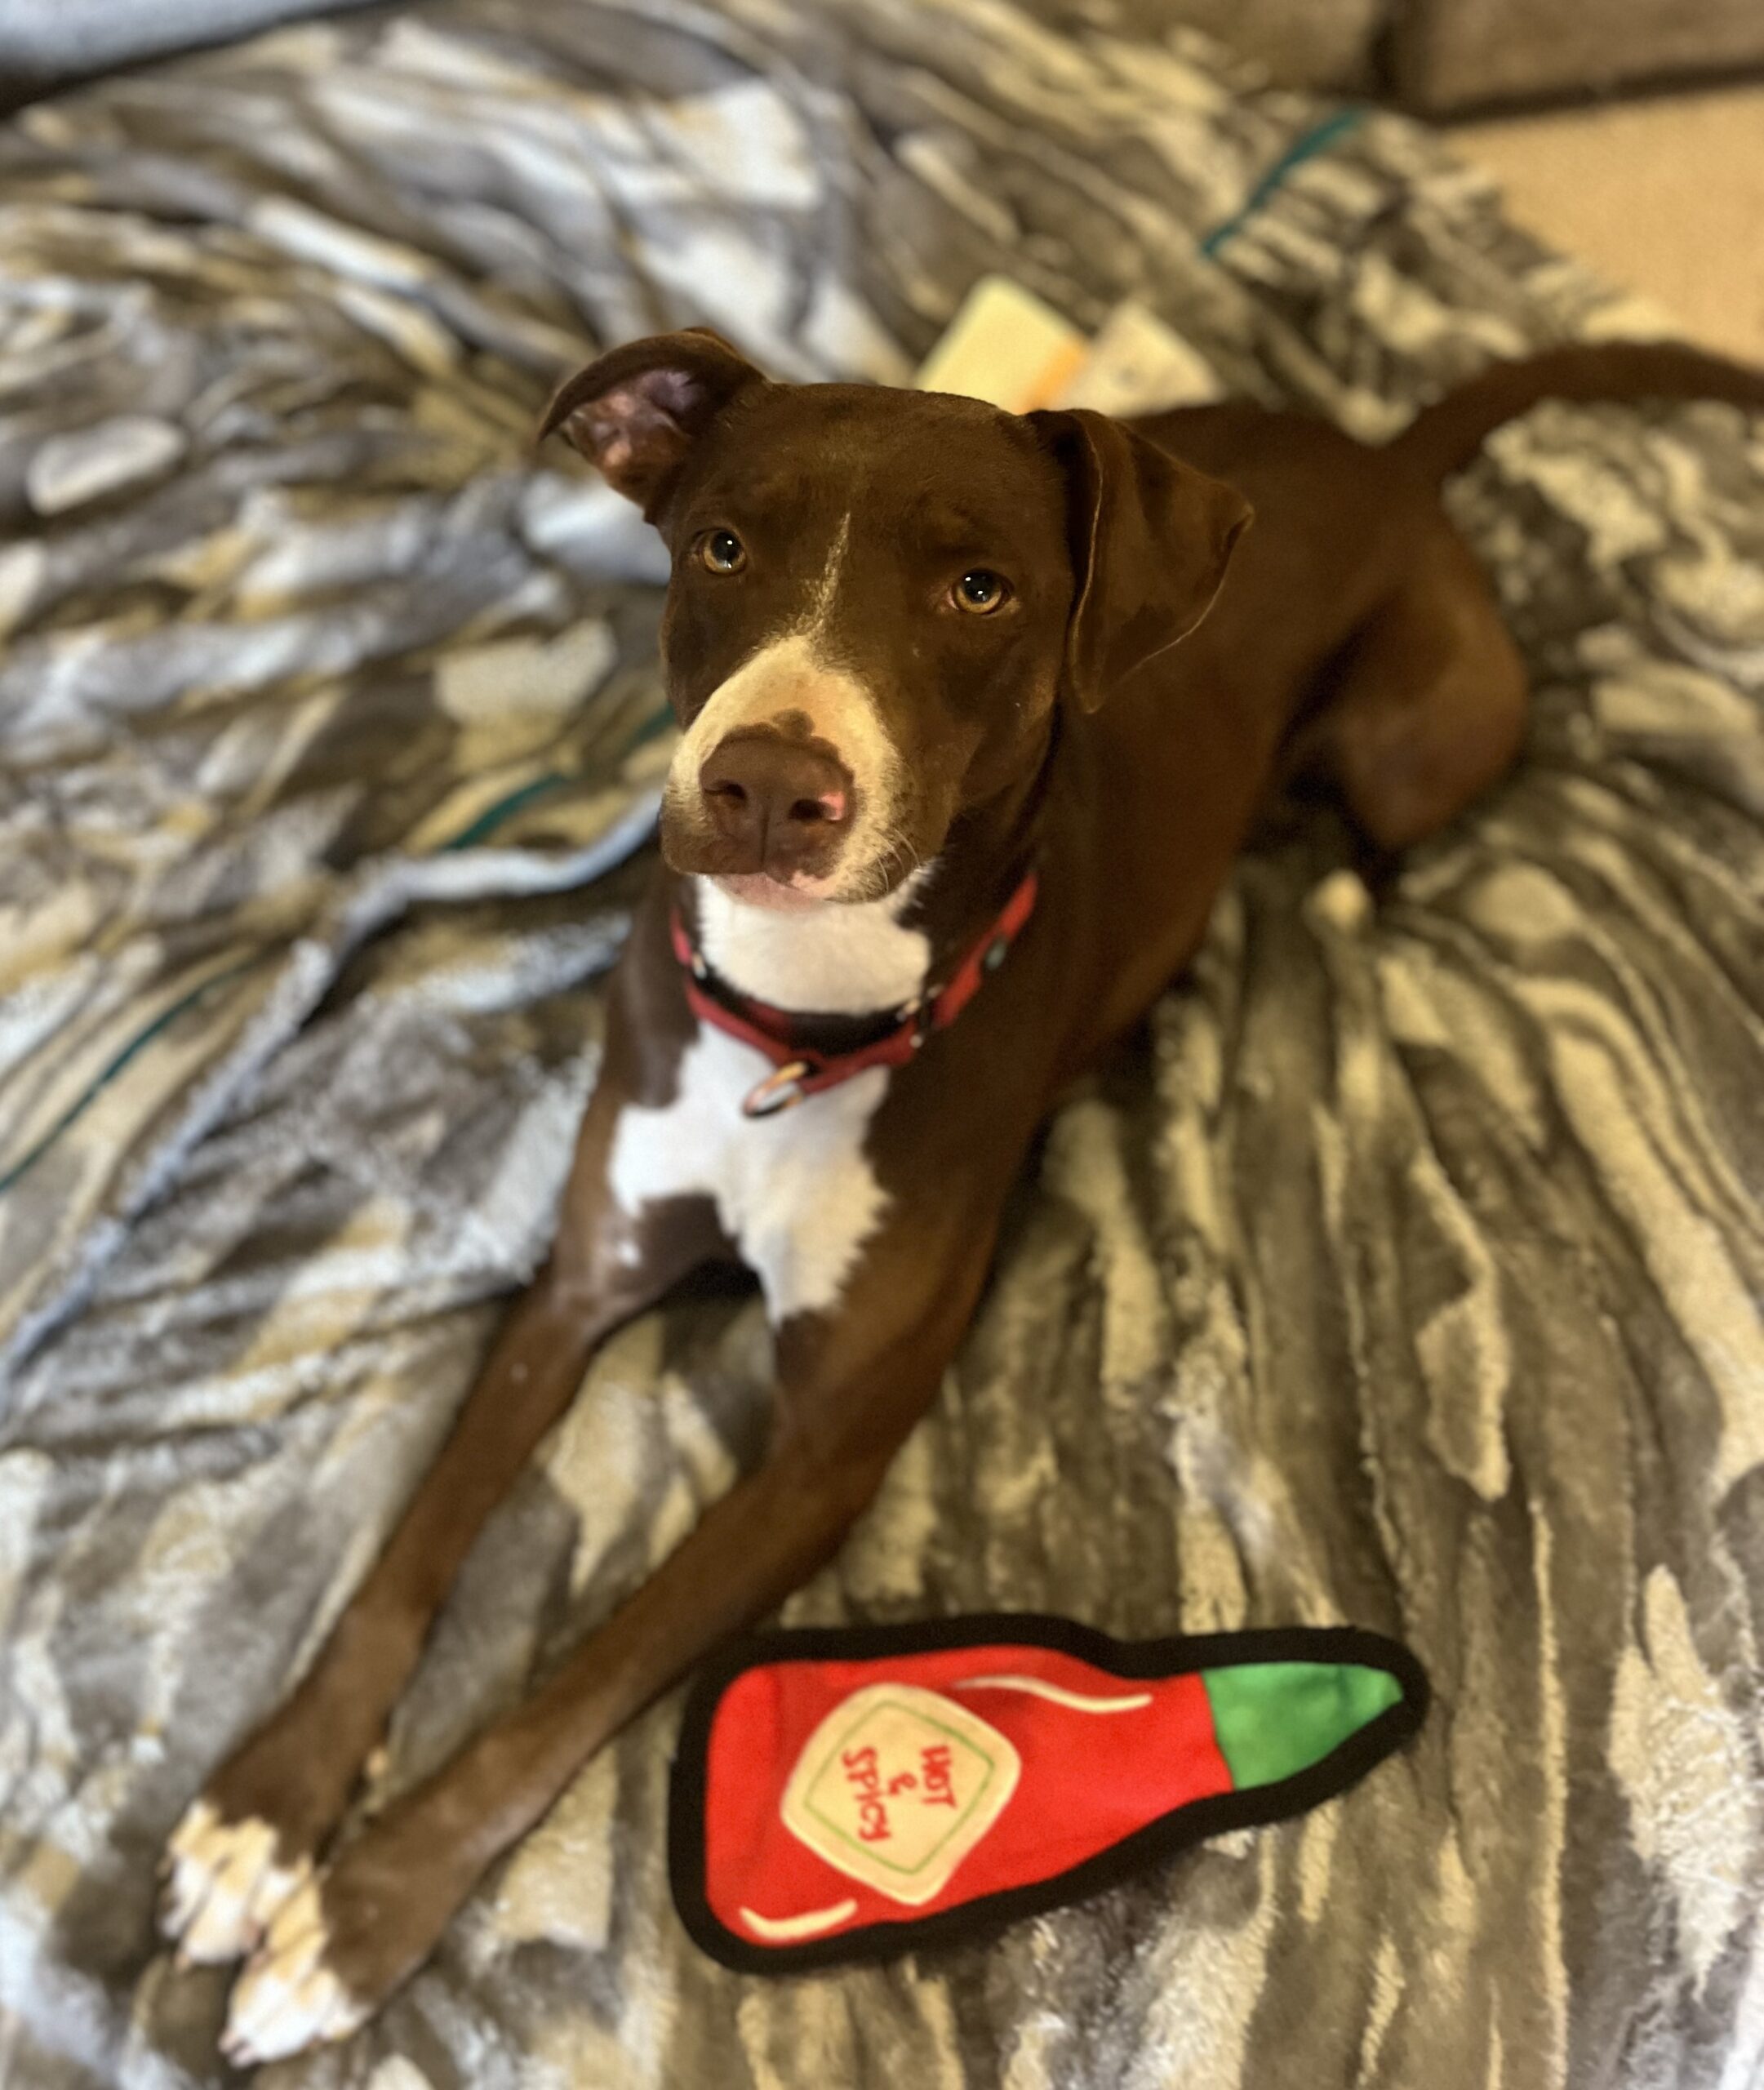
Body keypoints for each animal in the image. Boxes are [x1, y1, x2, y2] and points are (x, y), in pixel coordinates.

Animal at [158, 329, 1764, 2060]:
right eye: (723, 547)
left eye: (980, 590)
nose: (766, 784)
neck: (801, 1033)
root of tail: (1390, 461)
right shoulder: (582, 1273)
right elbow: (410, 1556)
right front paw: (265, 1816)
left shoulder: (822, 1464)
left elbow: (571, 1692)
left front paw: (359, 1920)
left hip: (1422, 734)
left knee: (1391, 829)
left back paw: (1334, 887)